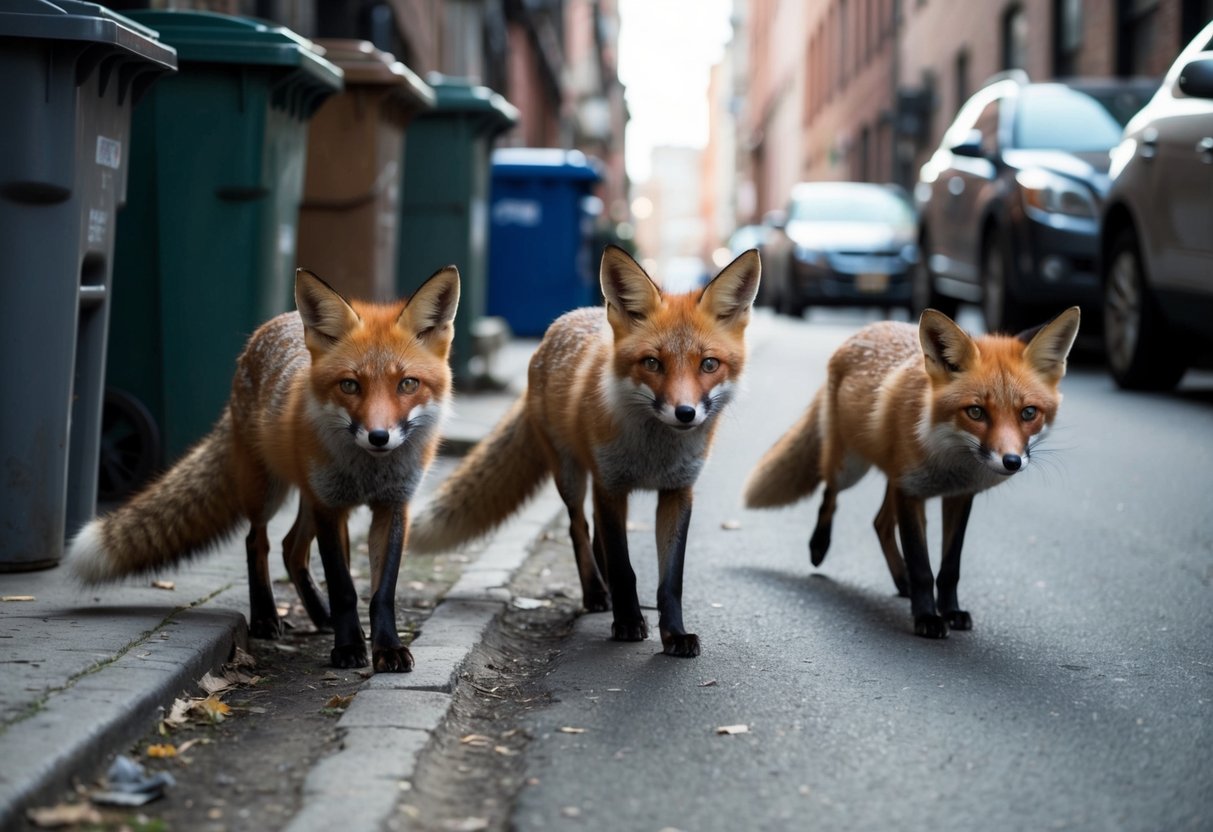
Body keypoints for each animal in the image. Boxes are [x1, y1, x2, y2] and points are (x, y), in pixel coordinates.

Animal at [69, 267, 461, 672]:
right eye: (350, 385)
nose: (379, 437)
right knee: (258, 541)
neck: (369, 471)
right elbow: (343, 587)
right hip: (267, 492)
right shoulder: (329, 505)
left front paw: (386, 648)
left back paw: (321, 616)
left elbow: (382, 592)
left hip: (311, 497)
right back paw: (265, 618)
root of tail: (270, 326)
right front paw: (349, 647)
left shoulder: (392, 505)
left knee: (291, 549)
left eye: (408, 384)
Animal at [409, 245, 761, 657]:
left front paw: (674, 634)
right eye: (652, 362)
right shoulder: (611, 486)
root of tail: (563, 321)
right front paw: (627, 622)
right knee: (579, 527)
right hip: (571, 475)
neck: (654, 455)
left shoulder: (677, 491)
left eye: (708, 364)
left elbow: (670, 580)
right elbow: (624, 567)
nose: (685, 413)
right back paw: (595, 593)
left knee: (595, 533)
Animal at [743, 306, 1080, 639]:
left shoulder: (957, 496)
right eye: (976, 412)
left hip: (889, 477)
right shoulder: (910, 491)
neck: (948, 460)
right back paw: (818, 546)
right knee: (830, 495)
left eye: (1028, 413)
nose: (1011, 461)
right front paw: (927, 618)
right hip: (851, 467)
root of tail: (866, 328)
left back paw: (900, 580)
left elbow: (949, 568)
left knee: (879, 523)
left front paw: (950, 611)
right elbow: (921, 566)